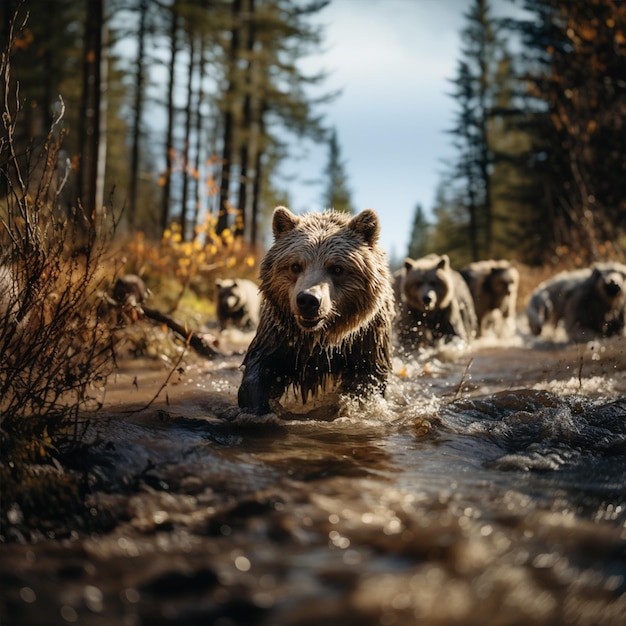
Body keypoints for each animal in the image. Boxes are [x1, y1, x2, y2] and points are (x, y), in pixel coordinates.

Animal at [236, 207, 392, 416]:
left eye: (337, 268)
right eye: (295, 265)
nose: (308, 300)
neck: (320, 338)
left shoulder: (366, 339)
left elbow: (367, 379)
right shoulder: (280, 335)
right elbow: (260, 368)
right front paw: (260, 407)